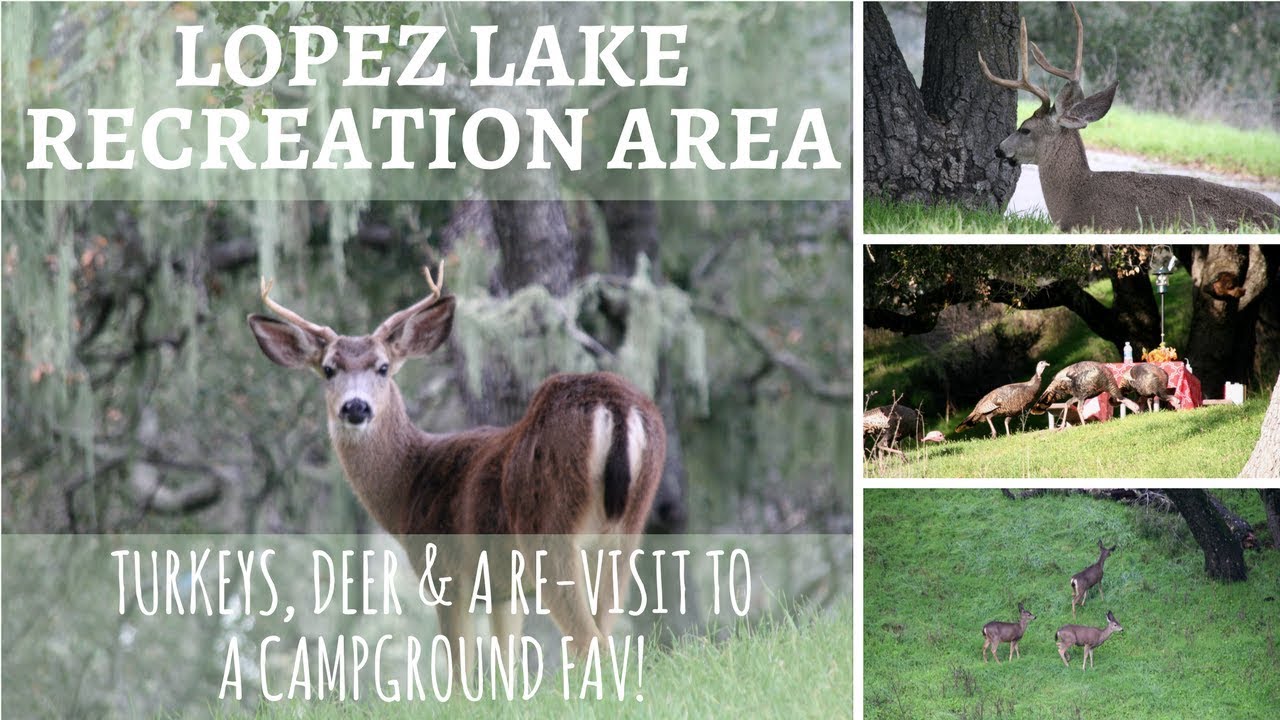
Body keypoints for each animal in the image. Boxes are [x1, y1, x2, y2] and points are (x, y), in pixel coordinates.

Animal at [247, 262, 666, 673]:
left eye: (383, 367)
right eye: (330, 369)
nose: (355, 407)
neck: (408, 483)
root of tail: (615, 406)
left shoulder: (447, 574)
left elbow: (461, 674)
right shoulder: (503, 590)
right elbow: (506, 665)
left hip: (549, 530)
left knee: (591, 643)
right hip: (625, 532)